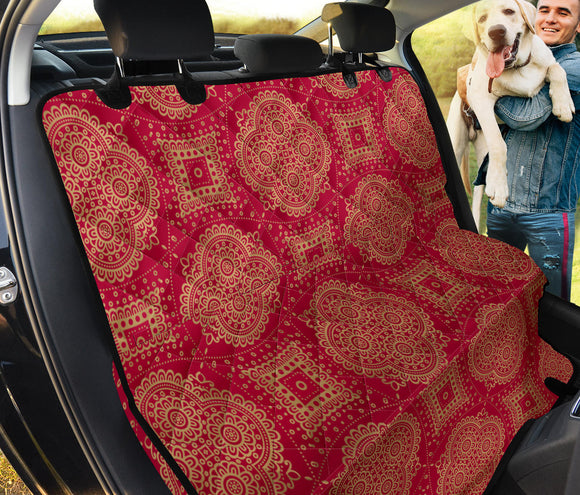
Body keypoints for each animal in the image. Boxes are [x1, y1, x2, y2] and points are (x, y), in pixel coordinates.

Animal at [446, 0, 575, 231]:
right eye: (482, 19)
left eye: (509, 11)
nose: (496, 32)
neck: (517, 68)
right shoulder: (480, 97)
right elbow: (499, 144)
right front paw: (500, 187)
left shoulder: (547, 62)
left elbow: (557, 68)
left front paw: (563, 103)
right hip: (456, 143)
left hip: (482, 158)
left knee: (477, 195)